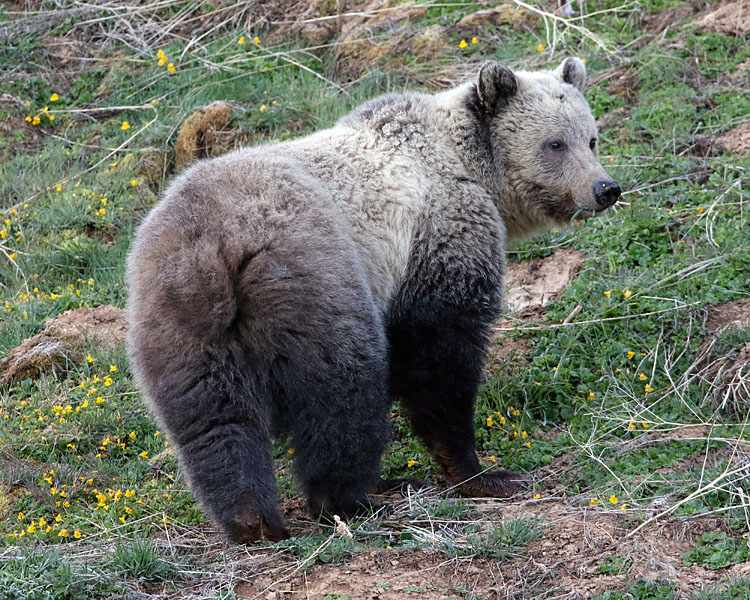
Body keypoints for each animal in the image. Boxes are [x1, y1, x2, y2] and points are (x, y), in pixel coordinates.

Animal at [128, 58, 624, 540]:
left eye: (591, 138)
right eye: (554, 144)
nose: (605, 188)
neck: (471, 168)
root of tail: (213, 248)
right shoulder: (436, 243)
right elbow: (439, 357)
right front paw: (481, 472)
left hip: (174, 323)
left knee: (212, 421)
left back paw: (250, 519)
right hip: (315, 282)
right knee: (343, 391)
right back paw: (356, 498)